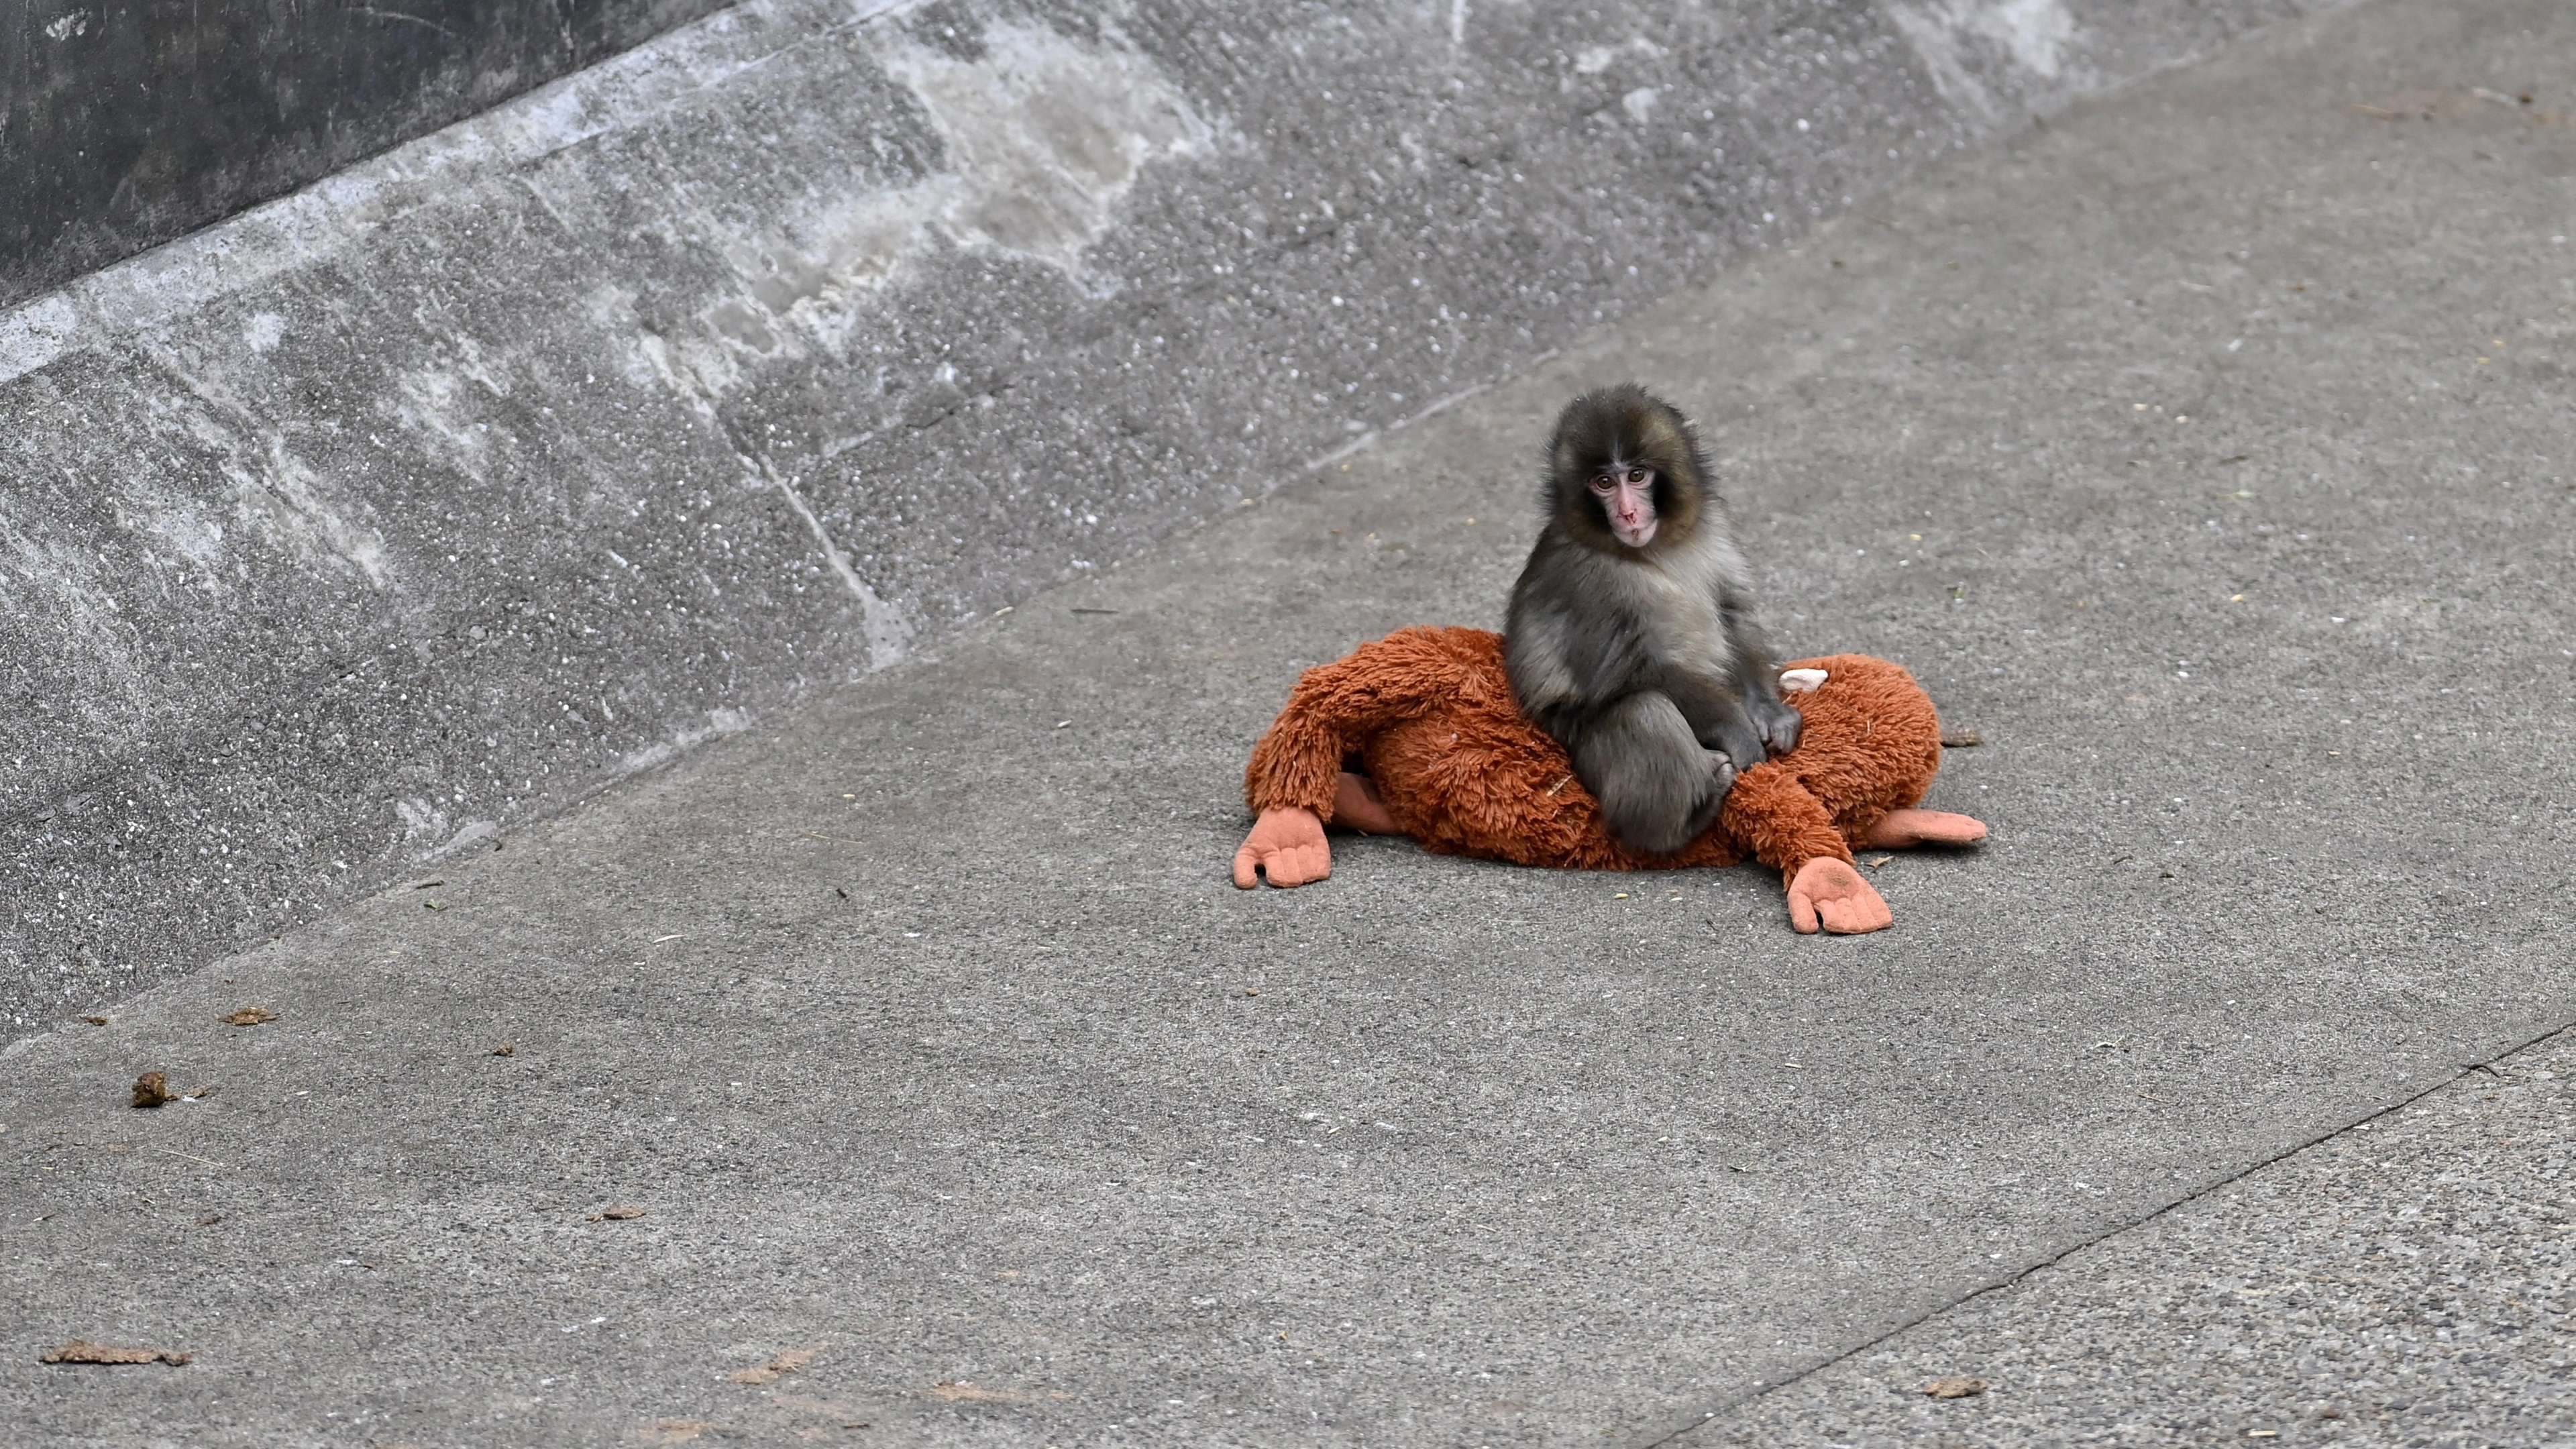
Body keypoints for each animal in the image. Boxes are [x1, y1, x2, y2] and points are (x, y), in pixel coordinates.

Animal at [1503, 384, 1802, 857]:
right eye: (1604, 483)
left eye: (1638, 475)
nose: (1627, 514)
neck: (1651, 548)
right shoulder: (1586, 581)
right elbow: (1634, 671)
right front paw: (1738, 730)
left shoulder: (1714, 524)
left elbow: (1731, 611)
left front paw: (1769, 713)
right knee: (1644, 710)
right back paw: (1681, 823)